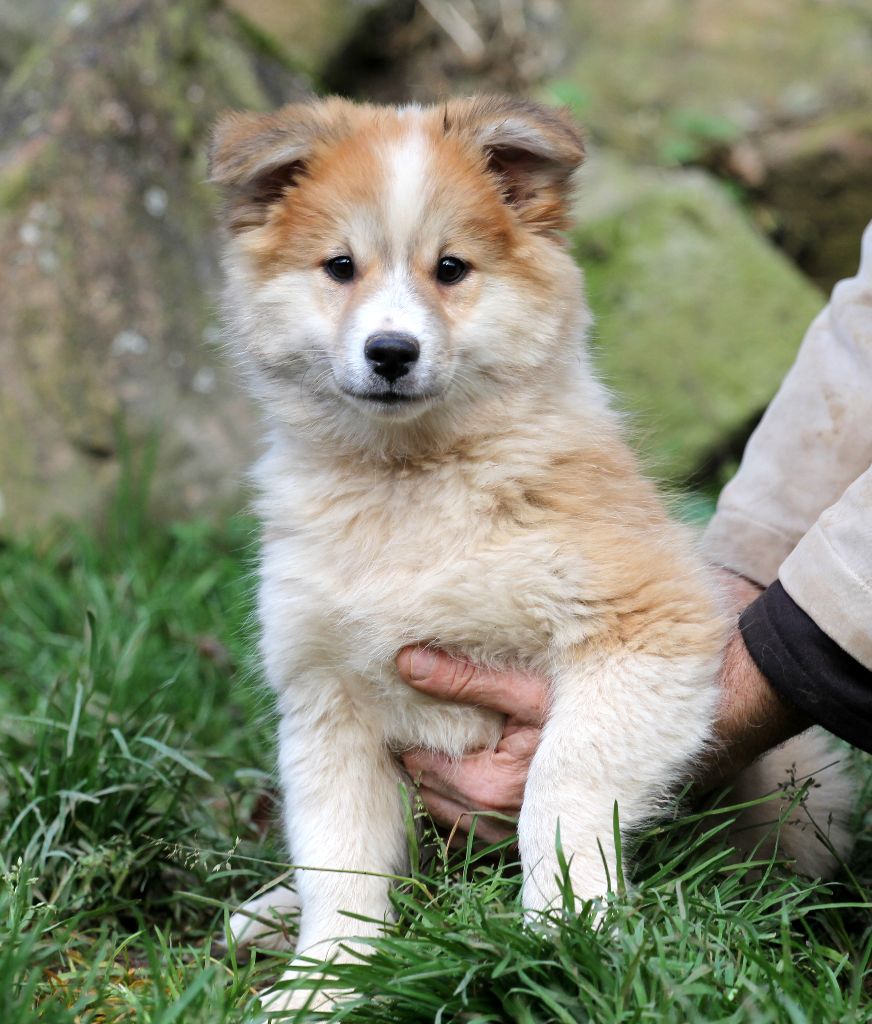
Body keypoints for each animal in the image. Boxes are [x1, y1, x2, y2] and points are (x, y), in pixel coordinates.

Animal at [209, 96, 851, 1007]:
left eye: (451, 268)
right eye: (340, 267)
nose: (391, 352)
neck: (412, 483)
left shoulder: (645, 631)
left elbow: (559, 786)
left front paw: (564, 930)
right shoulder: (326, 696)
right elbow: (339, 862)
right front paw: (323, 984)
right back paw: (270, 916)